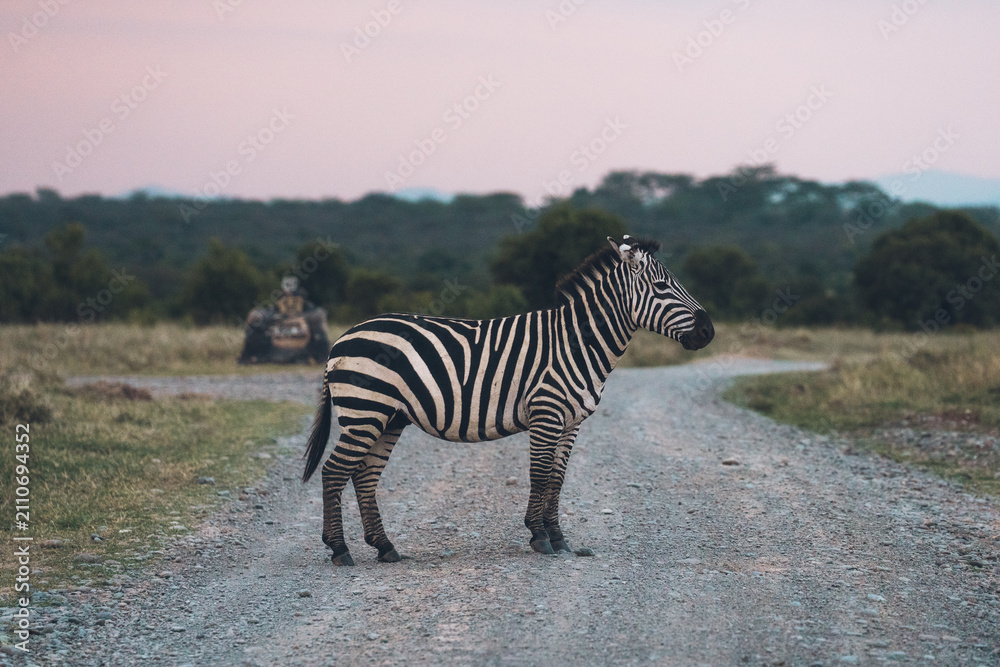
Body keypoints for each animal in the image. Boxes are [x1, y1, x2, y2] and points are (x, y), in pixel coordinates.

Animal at [302, 235, 714, 565]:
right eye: (661, 286)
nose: (708, 331)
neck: (578, 343)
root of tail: (342, 339)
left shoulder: (571, 422)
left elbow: (557, 478)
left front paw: (559, 538)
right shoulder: (547, 412)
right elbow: (540, 474)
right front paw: (539, 536)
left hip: (388, 417)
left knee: (364, 476)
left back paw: (385, 547)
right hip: (365, 411)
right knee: (334, 471)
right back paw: (340, 549)